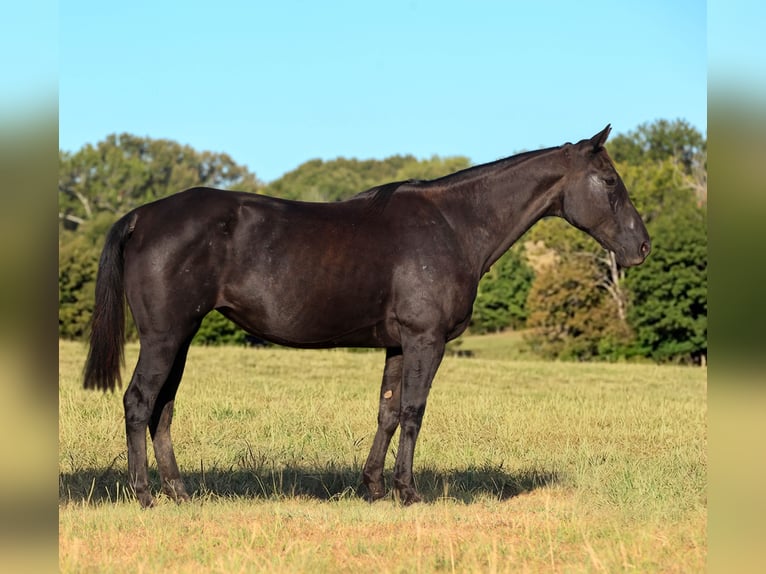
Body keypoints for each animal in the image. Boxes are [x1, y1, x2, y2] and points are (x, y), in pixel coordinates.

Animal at [83, 125, 650, 508]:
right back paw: (144, 494)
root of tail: (142, 215)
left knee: (163, 409)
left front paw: (373, 487)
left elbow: (387, 411)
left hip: (180, 337)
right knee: (139, 402)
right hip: (164, 336)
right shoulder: (426, 340)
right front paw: (408, 491)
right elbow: (414, 412)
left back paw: (178, 492)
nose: (642, 246)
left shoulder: (398, 344)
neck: (453, 224)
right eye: (609, 180)